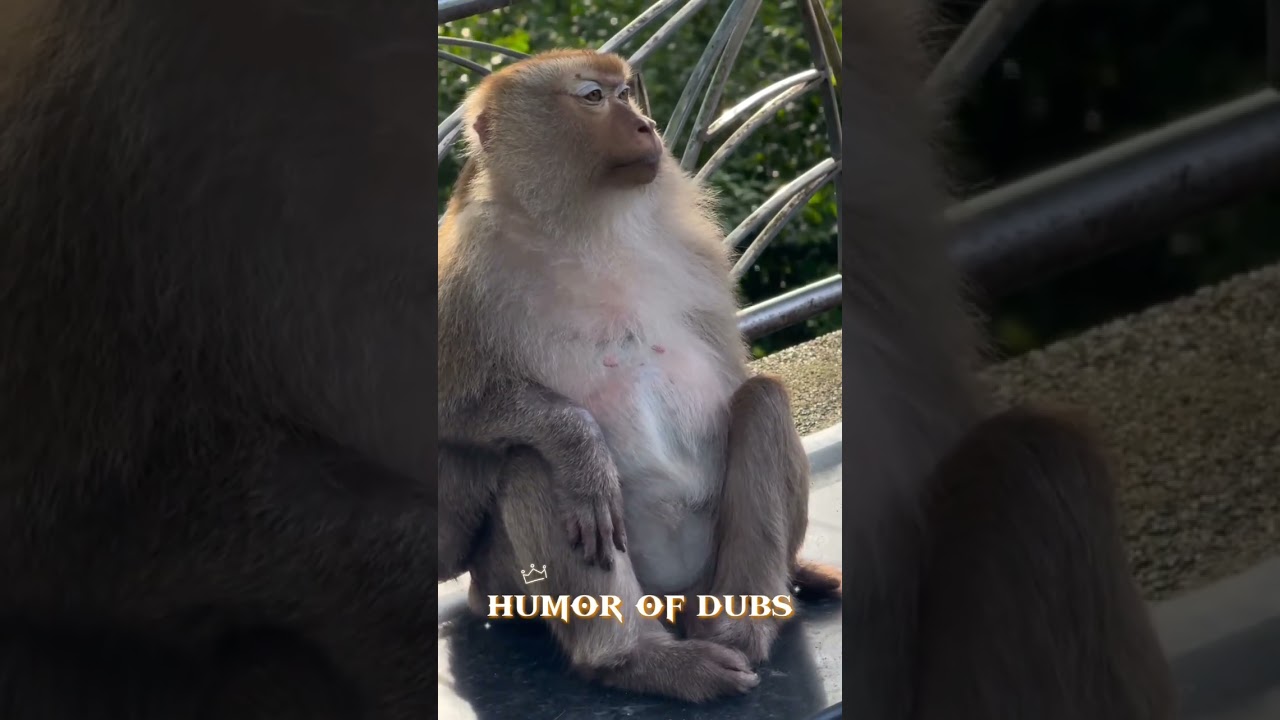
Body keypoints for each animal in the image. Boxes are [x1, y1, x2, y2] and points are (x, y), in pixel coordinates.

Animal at [436, 49, 841, 703]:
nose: (647, 126)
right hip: (507, 584)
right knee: (531, 460)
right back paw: (634, 658)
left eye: (627, 92)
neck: (583, 222)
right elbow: (448, 412)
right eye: (594, 97)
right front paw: (579, 444)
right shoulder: (459, 269)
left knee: (762, 399)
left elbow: (737, 373)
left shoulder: (696, 246)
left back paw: (740, 624)